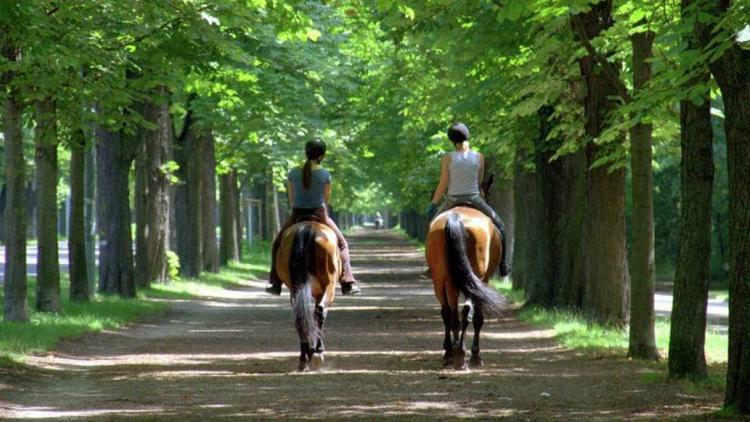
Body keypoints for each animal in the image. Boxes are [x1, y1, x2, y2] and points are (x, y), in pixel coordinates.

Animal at [276, 221, 340, 370]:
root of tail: (308, 227)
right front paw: (317, 350)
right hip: (329, 285)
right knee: (320, 311)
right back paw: (316, 353)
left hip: (296, 288)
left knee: (300, 316)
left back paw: (304, 358)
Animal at [426, 204, 508, 370]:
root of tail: (456, 217)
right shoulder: (484, 280)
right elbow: (478, 318)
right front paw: (475, 356)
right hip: (474, 278)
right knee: (466, 312)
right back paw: (461, 355)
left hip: (441, 279)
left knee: (450, 314)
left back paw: (453, 353)